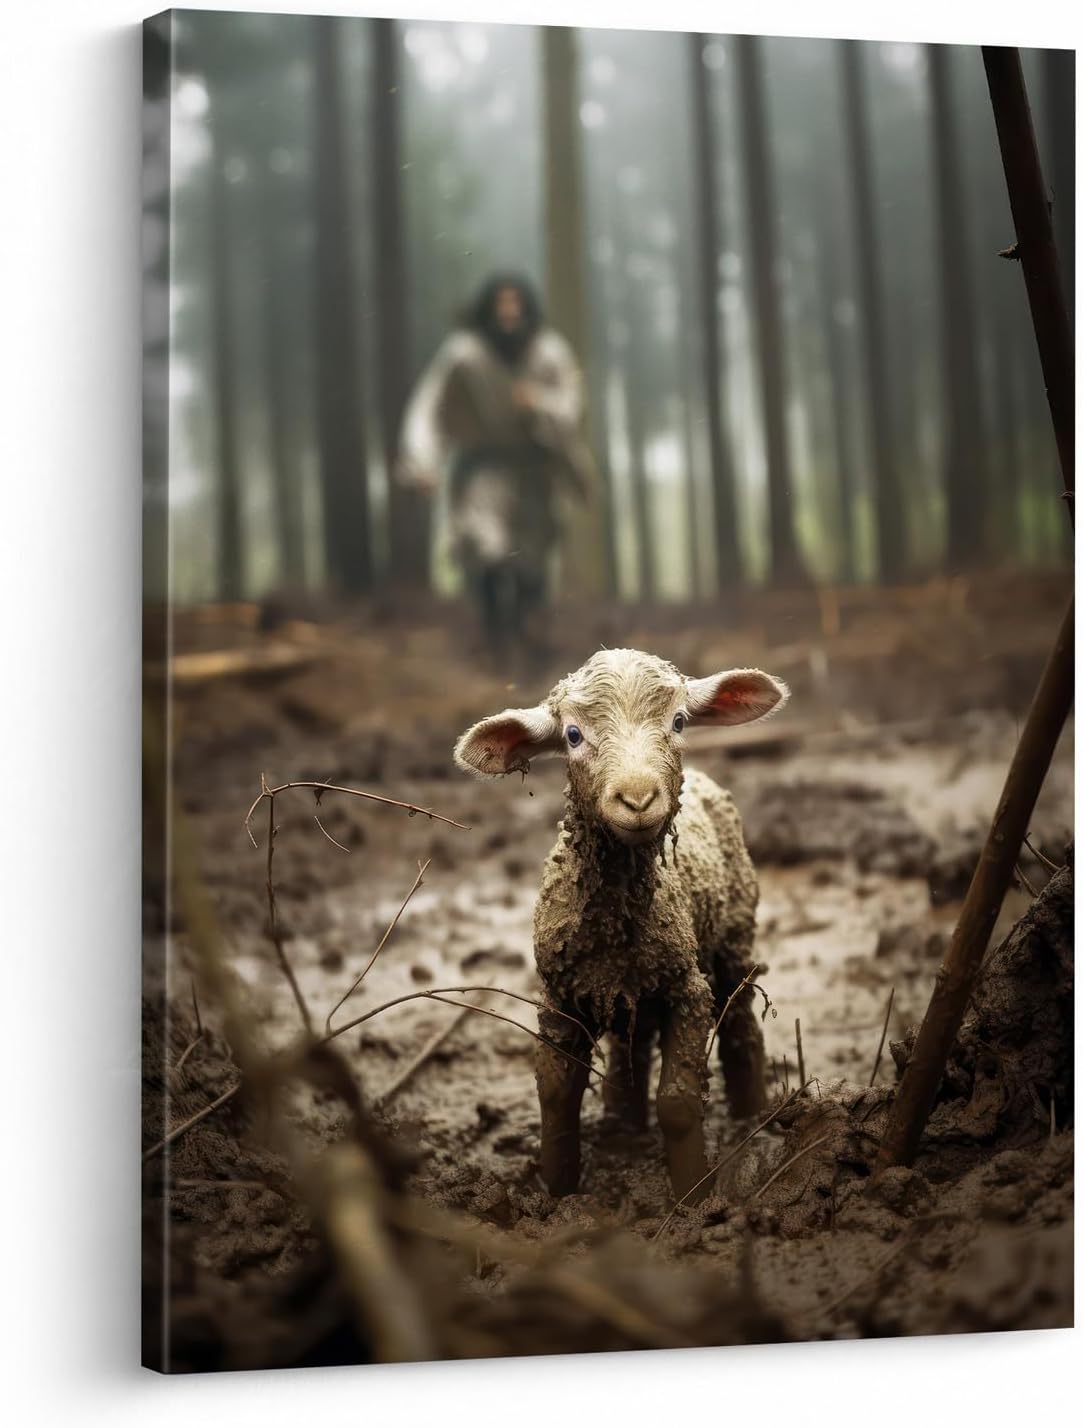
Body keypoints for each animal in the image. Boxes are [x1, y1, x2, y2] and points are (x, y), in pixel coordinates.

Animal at [454, 647, 789, 1201]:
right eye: (572, 735)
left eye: (678, 721)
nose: (637, 799)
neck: (615, 922)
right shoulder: (560, 995)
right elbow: (555, 1095)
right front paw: (557, 1191)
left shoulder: (686, 988)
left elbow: (677, 1102)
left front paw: (693, 1197)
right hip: (629, 986)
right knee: (632, 1043)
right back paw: (622, 1122)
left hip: (733, 934)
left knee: (741, 1021)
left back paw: (752, 1116)